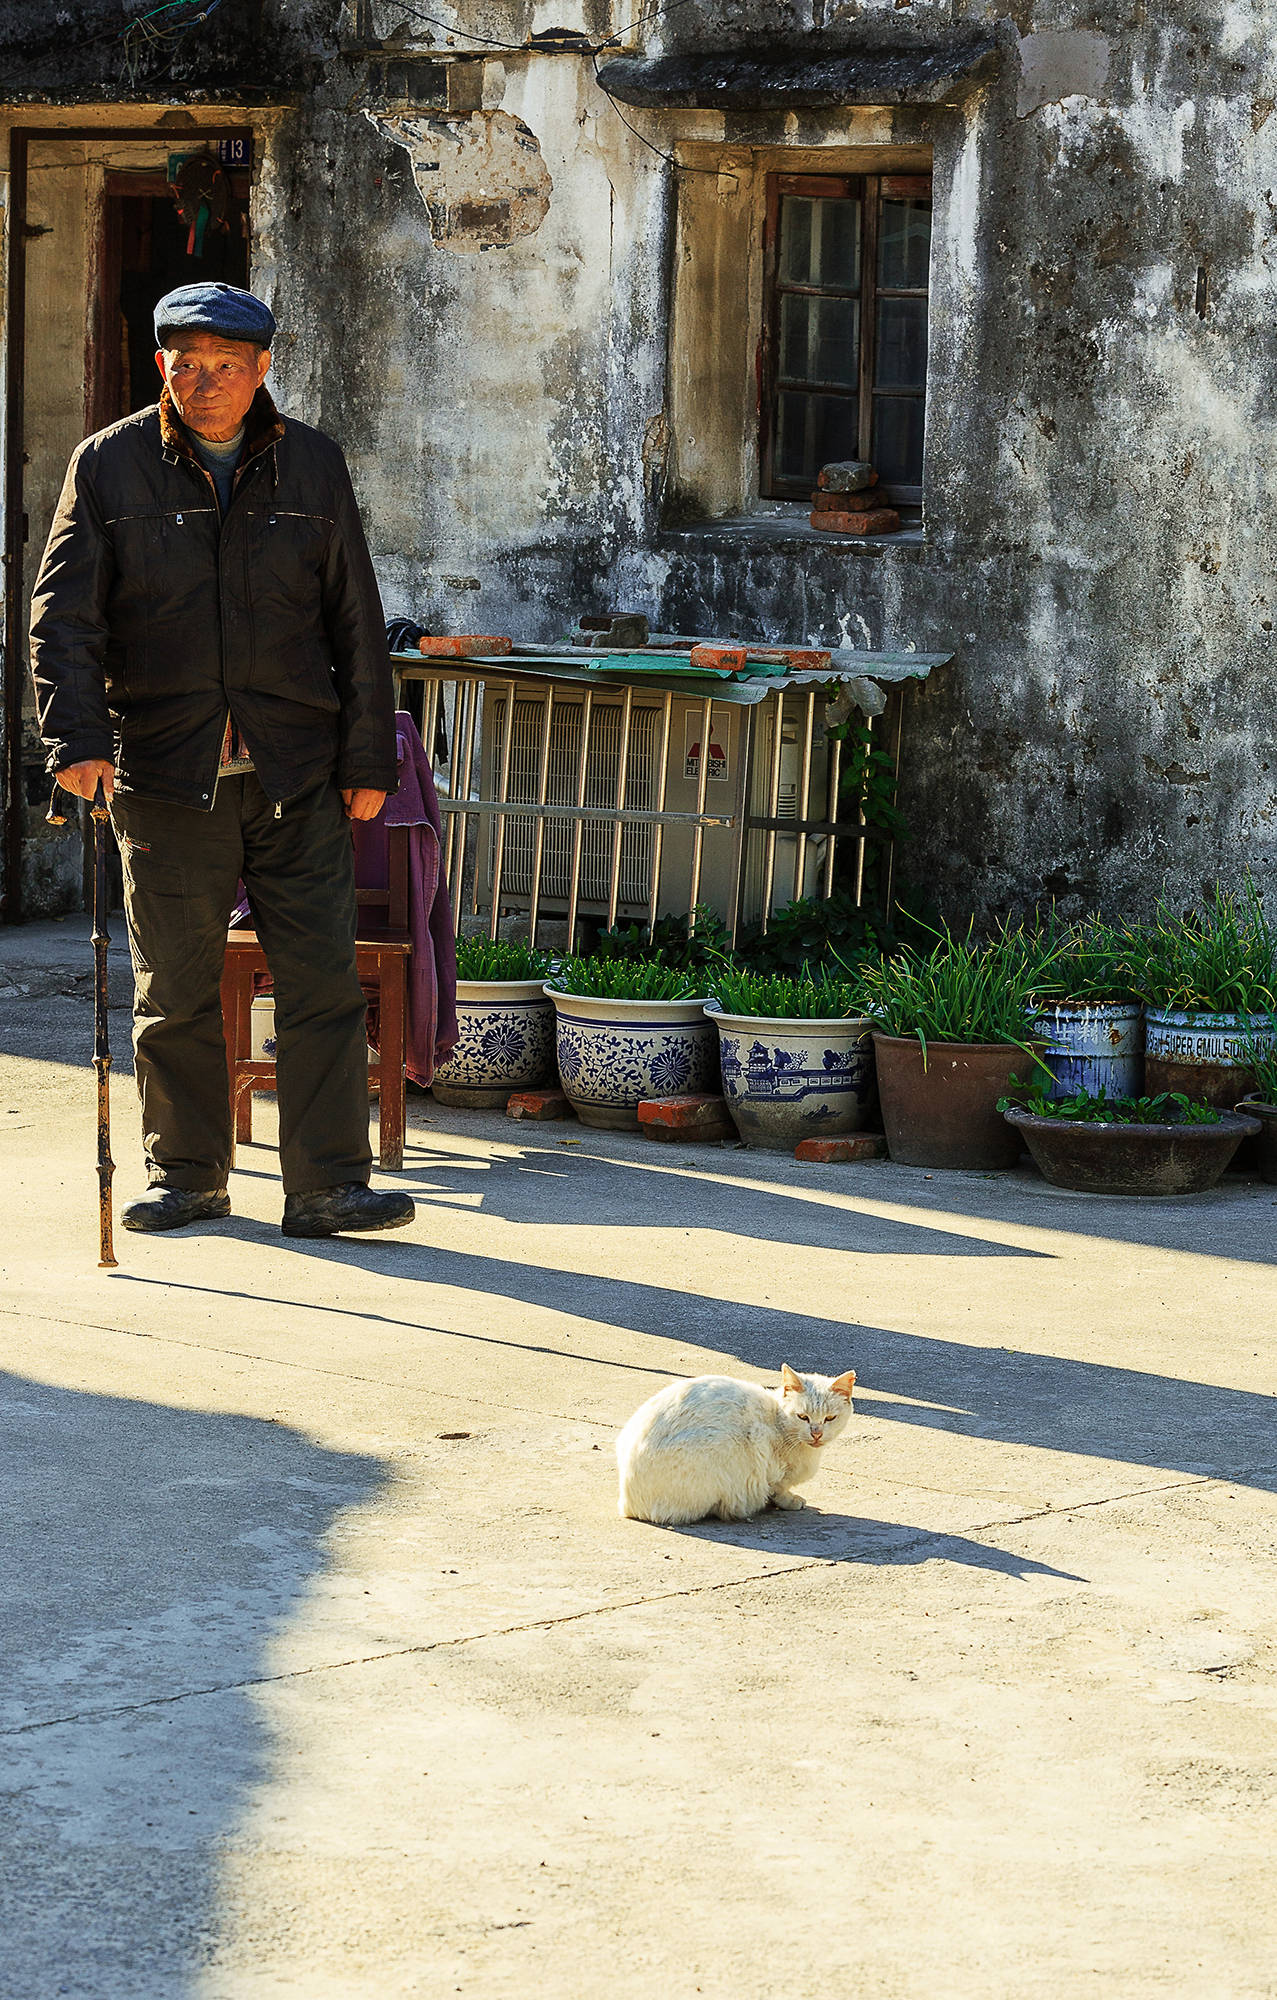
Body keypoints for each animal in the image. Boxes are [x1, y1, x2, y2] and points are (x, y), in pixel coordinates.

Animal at [620, 1368, 860, 1520]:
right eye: (803, 1417)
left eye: (830, 1418)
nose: (816, 1433)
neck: (778, 1421)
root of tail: (627, 1504)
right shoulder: (769, 1466)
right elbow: (778, 1490)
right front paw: (791, 1501)